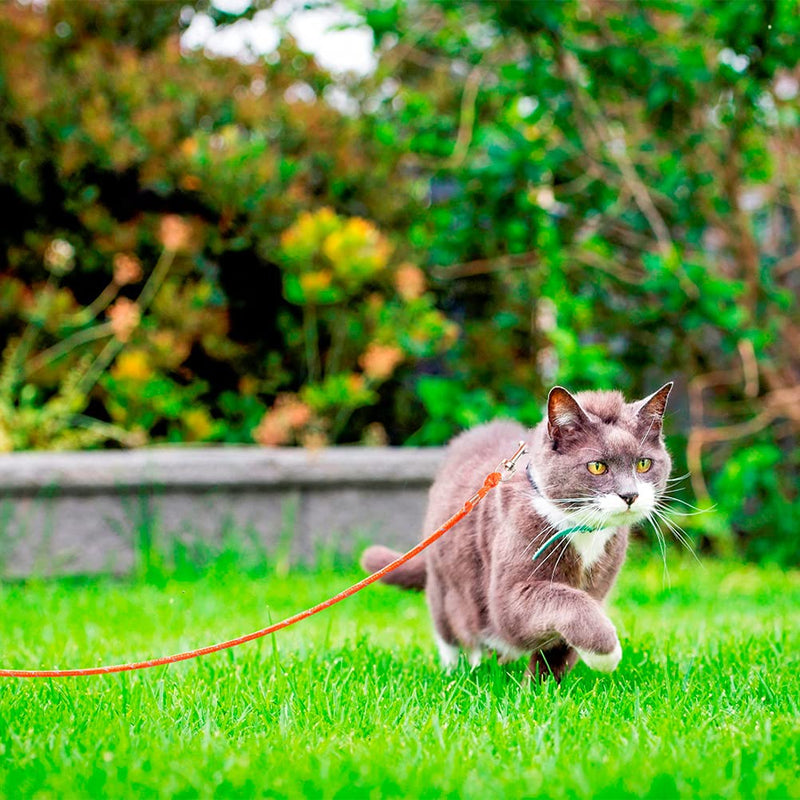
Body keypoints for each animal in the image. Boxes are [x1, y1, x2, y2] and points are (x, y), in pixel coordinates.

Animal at [360, 382, 672, 680]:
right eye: (597, 466)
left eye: (643, 463)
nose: (630, 495)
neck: (583, 530)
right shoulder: (510, 592)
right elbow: (565, 602)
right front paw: (607, 654)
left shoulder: (598, 583)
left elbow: (559, 647)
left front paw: (542, 688)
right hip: (446, 583)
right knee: (451, 631)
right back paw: (459, 671)